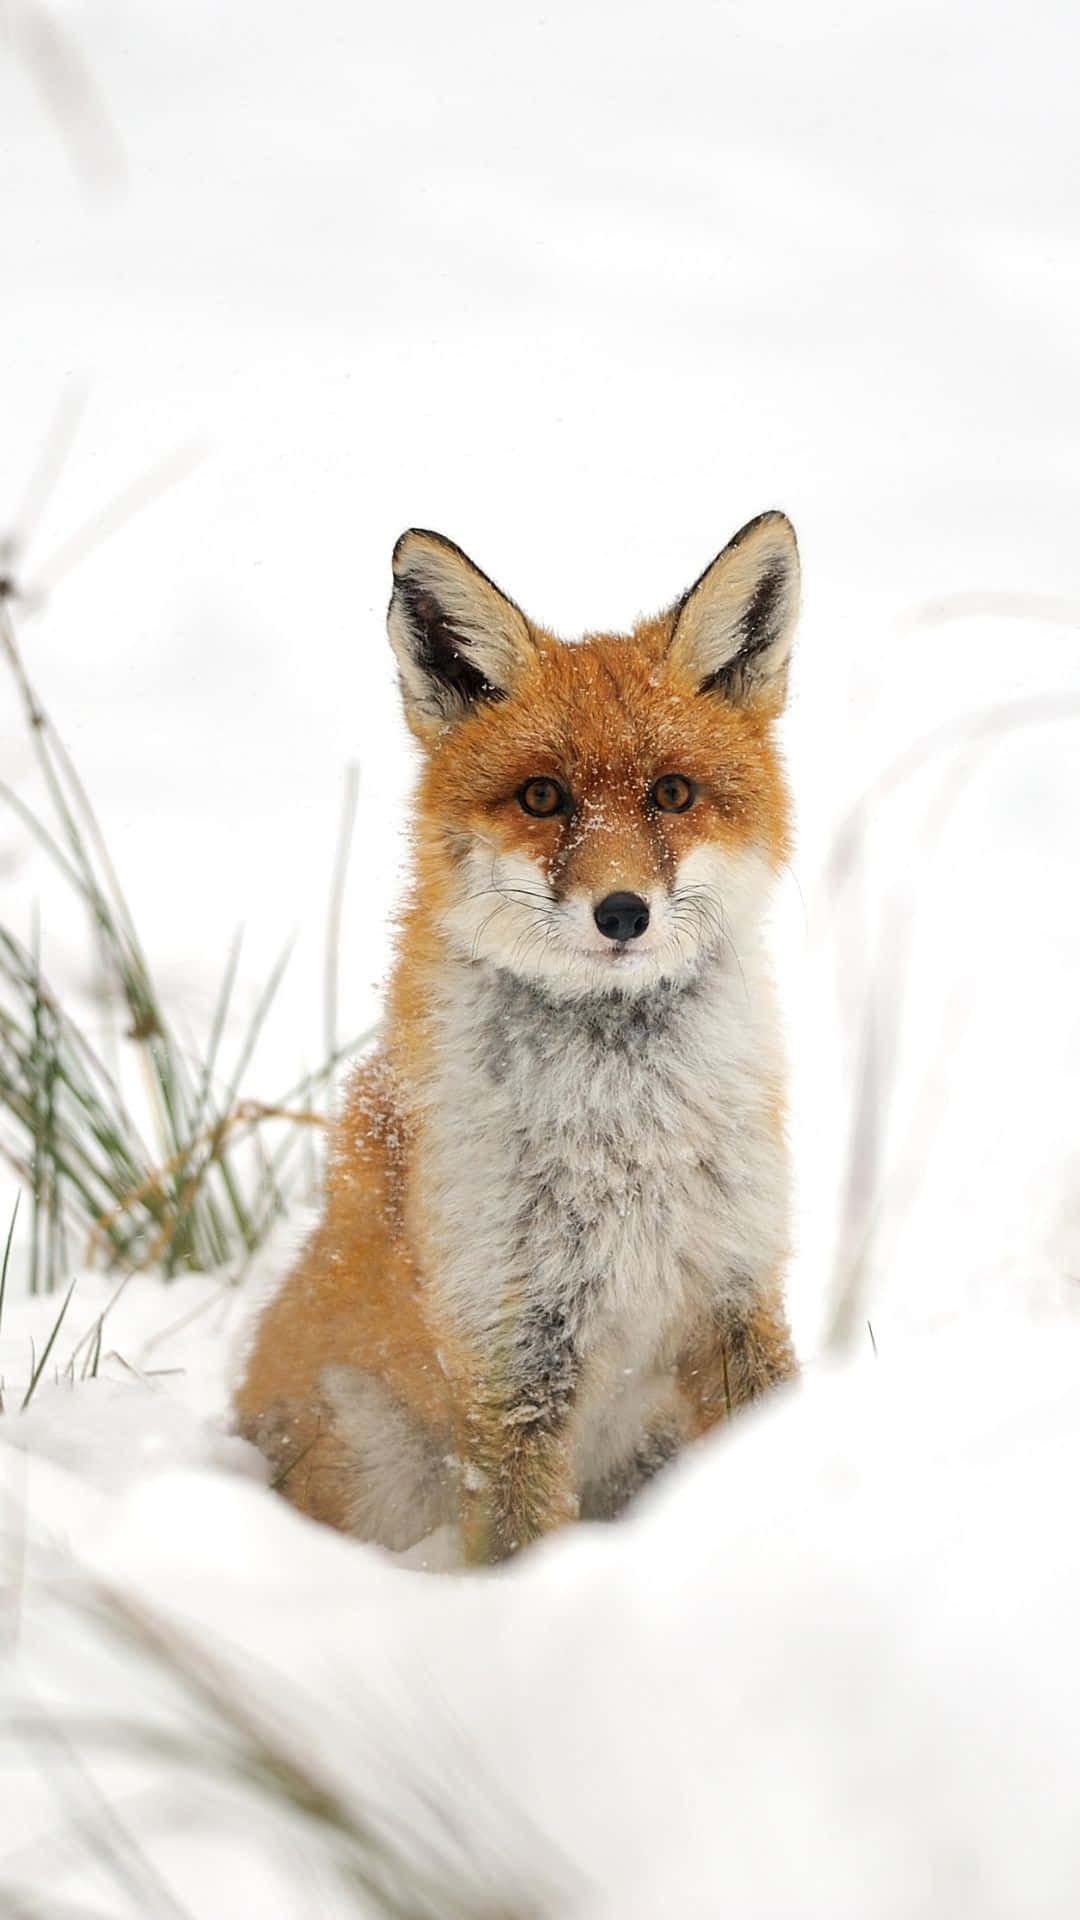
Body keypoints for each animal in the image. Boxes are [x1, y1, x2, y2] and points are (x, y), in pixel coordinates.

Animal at [235, 510, 801, 1564]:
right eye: (543, 798)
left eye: (672, 793)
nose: (622, 914)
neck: (626, 1142)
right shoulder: (511, 1355)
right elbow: (521, 1541)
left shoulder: (737, 1291)